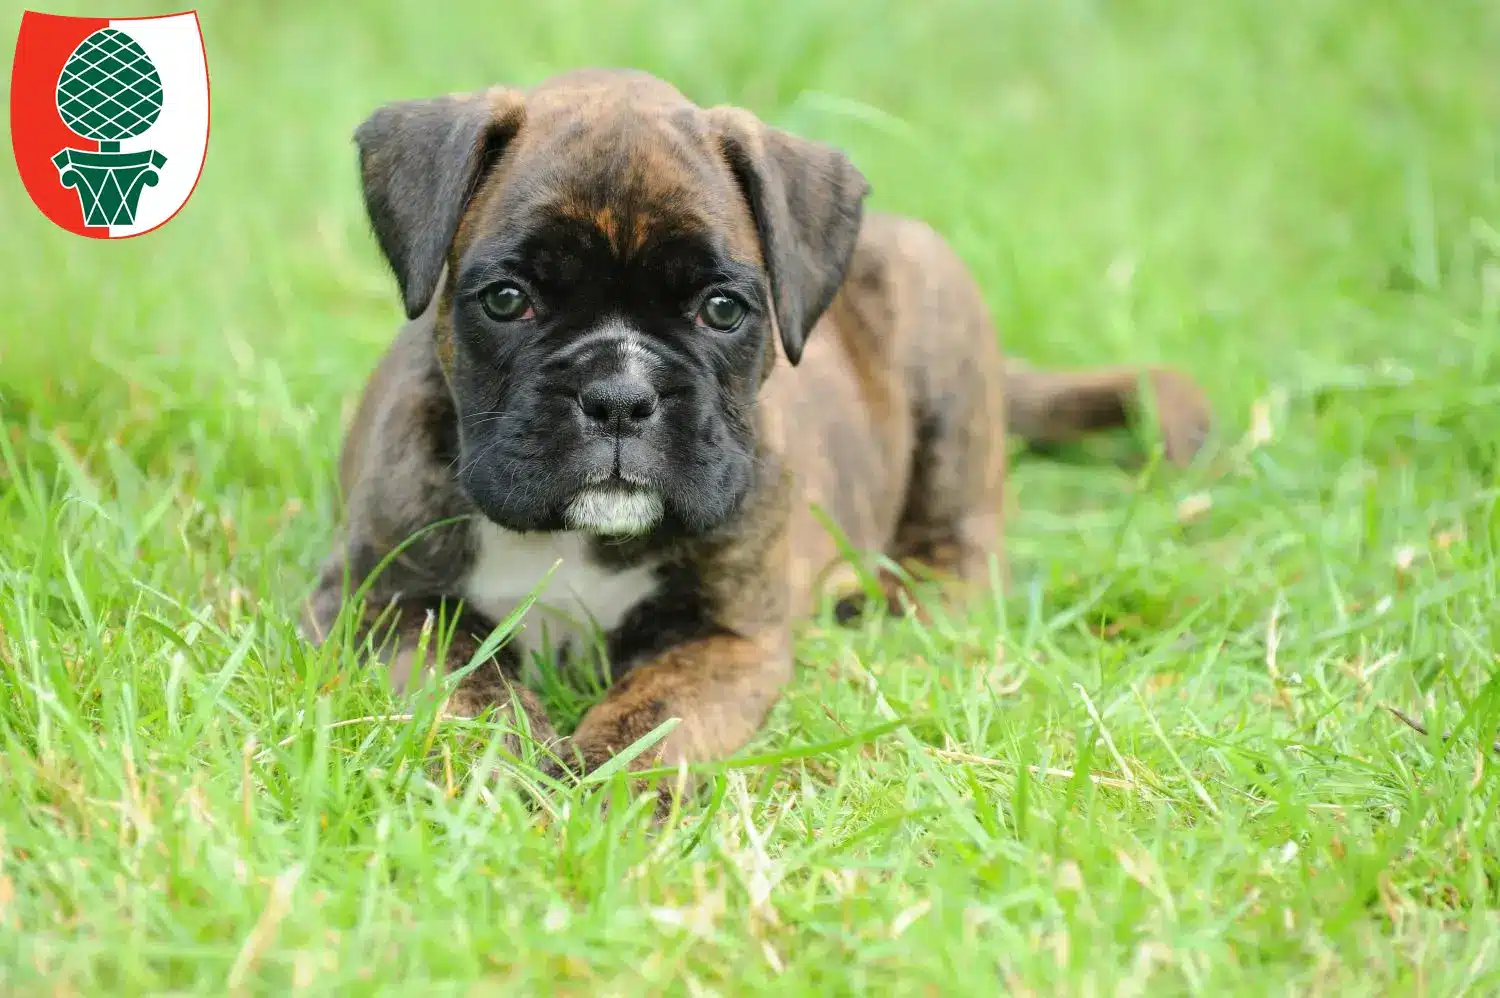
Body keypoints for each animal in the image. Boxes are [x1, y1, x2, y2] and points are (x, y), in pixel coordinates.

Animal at [298, 68, 1212, 786]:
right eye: (506, 299)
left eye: (723, 309)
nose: (620, 395)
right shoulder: (377, 607)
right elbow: (461, 685)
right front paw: (509, 761)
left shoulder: (726, 638)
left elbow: (657, 714)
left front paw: (607, 787)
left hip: (943, 357)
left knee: (960, 554)